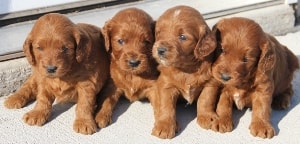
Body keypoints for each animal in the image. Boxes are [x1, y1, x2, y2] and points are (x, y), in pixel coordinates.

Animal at [151, 5, 219, 138]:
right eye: (160, 33)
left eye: (182, 37)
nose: (160, 50)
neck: (186, 69)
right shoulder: (166, 85)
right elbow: (166, 106)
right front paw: (165, 126)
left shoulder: (211, 82)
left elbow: (206, 99)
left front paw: (207, 117)